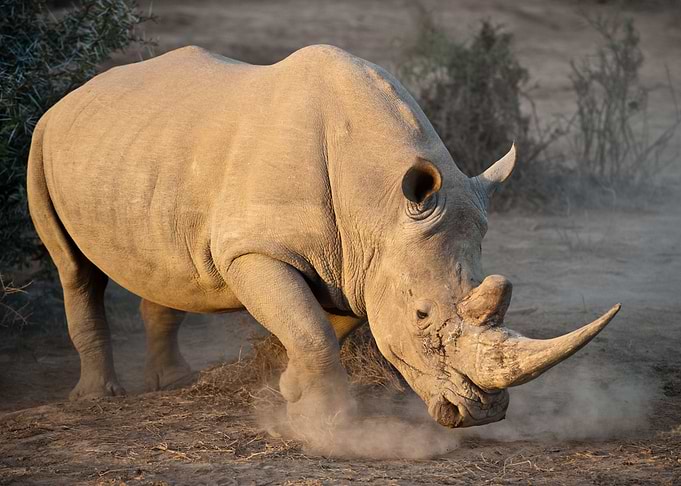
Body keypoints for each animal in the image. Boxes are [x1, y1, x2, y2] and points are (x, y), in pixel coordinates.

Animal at [27, 45, 620, 428]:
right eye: (422, 315)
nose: (479, 416)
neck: (379, 206)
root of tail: (70, 96)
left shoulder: (358, 262)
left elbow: (325, 326)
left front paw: (292, 394)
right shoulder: (254, 250)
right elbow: (311, 329)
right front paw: (330, 423)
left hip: (147, 150)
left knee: (162, 265)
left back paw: (172, 383)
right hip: (41, 140)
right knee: (73, 269)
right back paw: (97, 399)